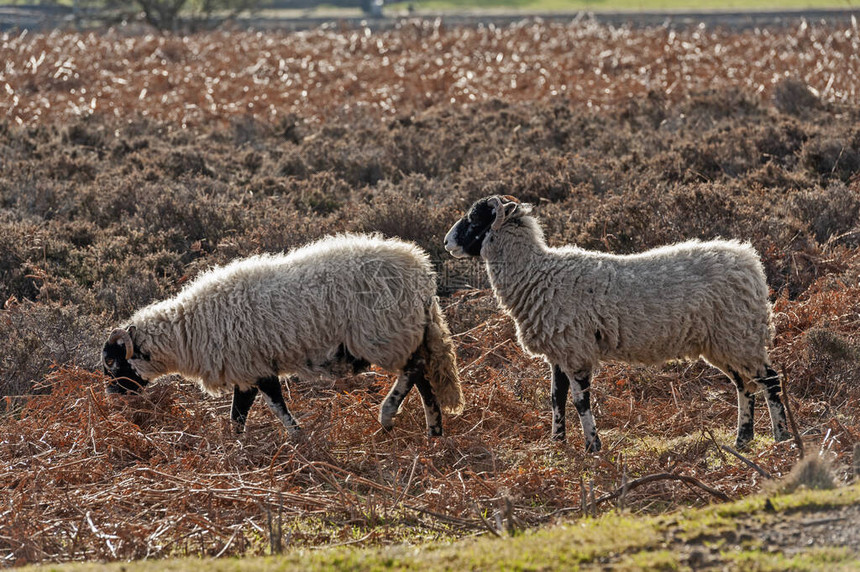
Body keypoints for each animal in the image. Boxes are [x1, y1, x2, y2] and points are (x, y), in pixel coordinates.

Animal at [102, 232, 464, 438]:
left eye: (113, 362)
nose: (112, 395)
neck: (187, 331)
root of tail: (422, 274)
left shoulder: (255, 367)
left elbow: (274, 406)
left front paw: (296, 437)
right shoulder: (247, 371)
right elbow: (239, 413)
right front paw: (236, 445)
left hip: (385, 334)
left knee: (414, 369)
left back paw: (388, 415)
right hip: (403, 333)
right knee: (422, 376)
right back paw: (433, 431)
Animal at [446, 194, 788, 454]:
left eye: (475, 218)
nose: (447, 242)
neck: (536, 273)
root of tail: (748, 258)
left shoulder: (576, 350)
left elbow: (580, 401)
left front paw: (592, 447)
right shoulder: (560, 351)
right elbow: (556, 398)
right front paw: (557, 444)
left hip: (739, 332)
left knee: (769, 380)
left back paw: (782, 437)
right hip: (724, 340)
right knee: (744, 384)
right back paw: (743, 440)